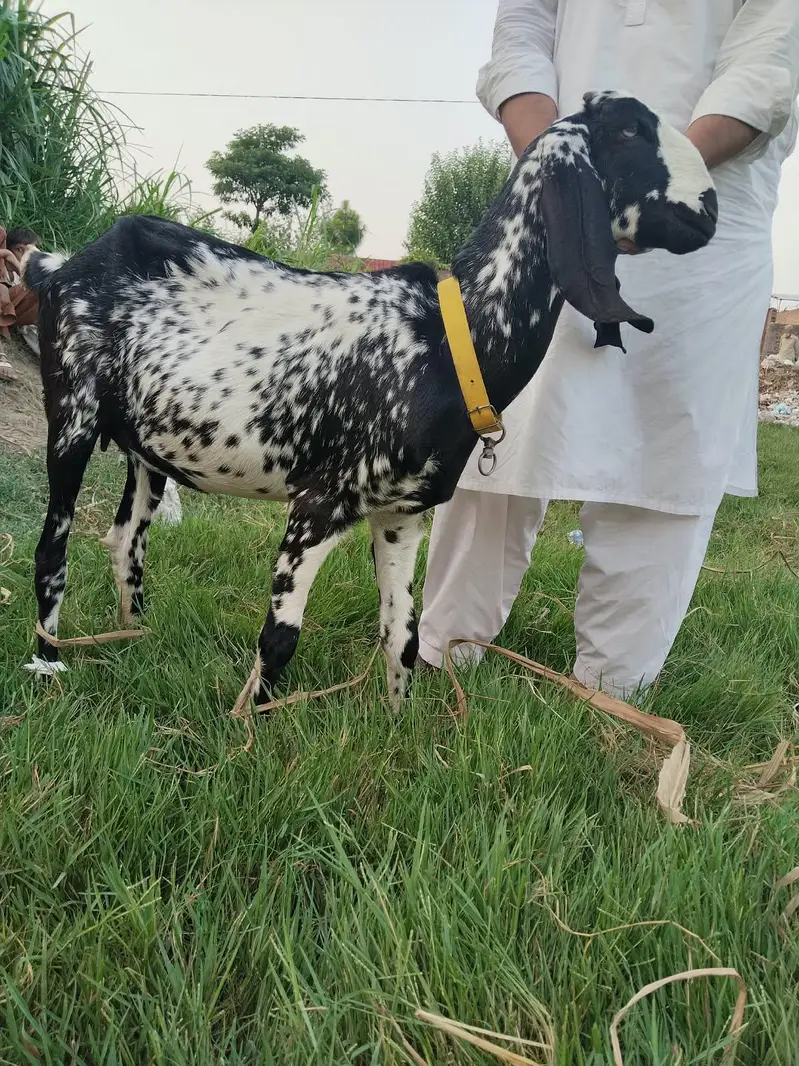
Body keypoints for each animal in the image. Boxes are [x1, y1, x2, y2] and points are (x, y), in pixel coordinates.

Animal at [24, 91, 717, 709]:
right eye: (629, 130)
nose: (709, 207)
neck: (450, 336)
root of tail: (60, 265)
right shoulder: (320, 503)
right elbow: (279, 639)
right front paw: (250, 732)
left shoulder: (402, 513)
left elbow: (401, 635)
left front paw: (398, 725)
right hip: (72, 417)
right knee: (52, 549)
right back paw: (47, 664)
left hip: (147, 449)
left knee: (126, 543)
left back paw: (134, 639)